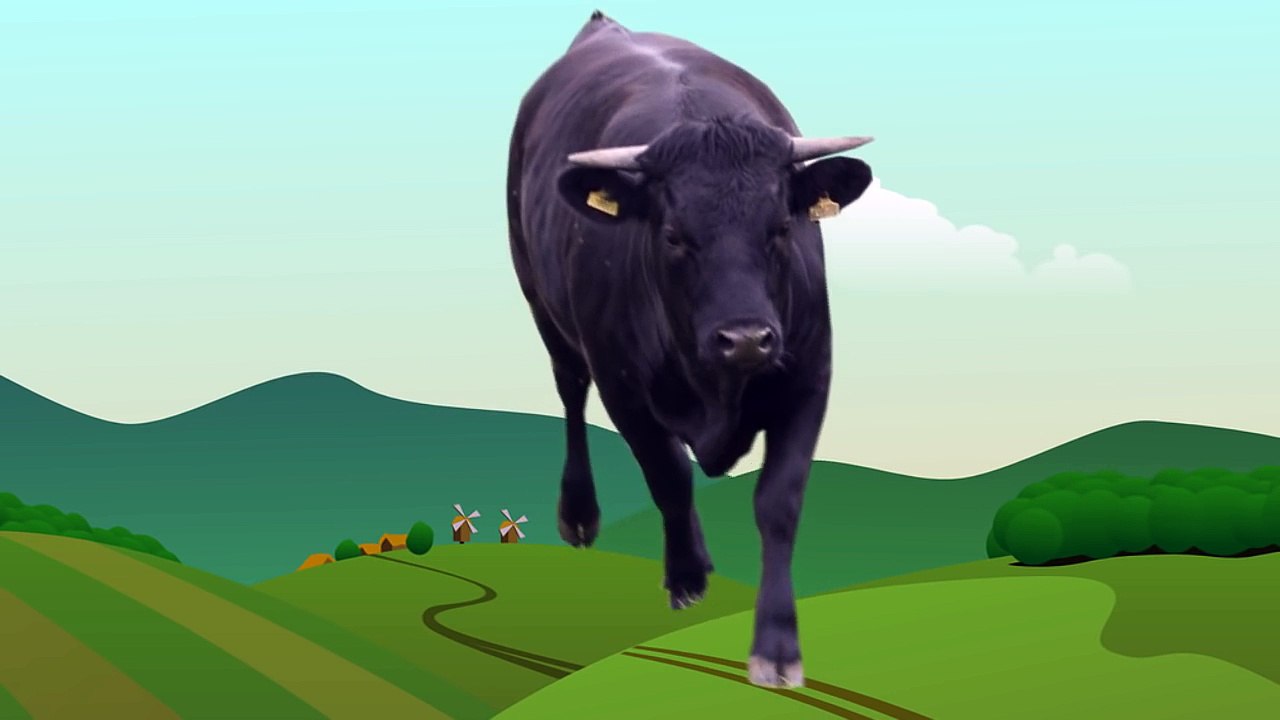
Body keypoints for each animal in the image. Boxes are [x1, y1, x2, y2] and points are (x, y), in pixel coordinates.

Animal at [505, 11, 874, 688]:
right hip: (539, 299)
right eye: (674, 235)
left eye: (782, 227)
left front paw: (777, 645)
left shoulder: (810, 376)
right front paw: (686, 575)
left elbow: (778, 503)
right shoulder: (623, 386)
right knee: (569, 391)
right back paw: (580, 513)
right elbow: (668, 476)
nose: (747, 338)